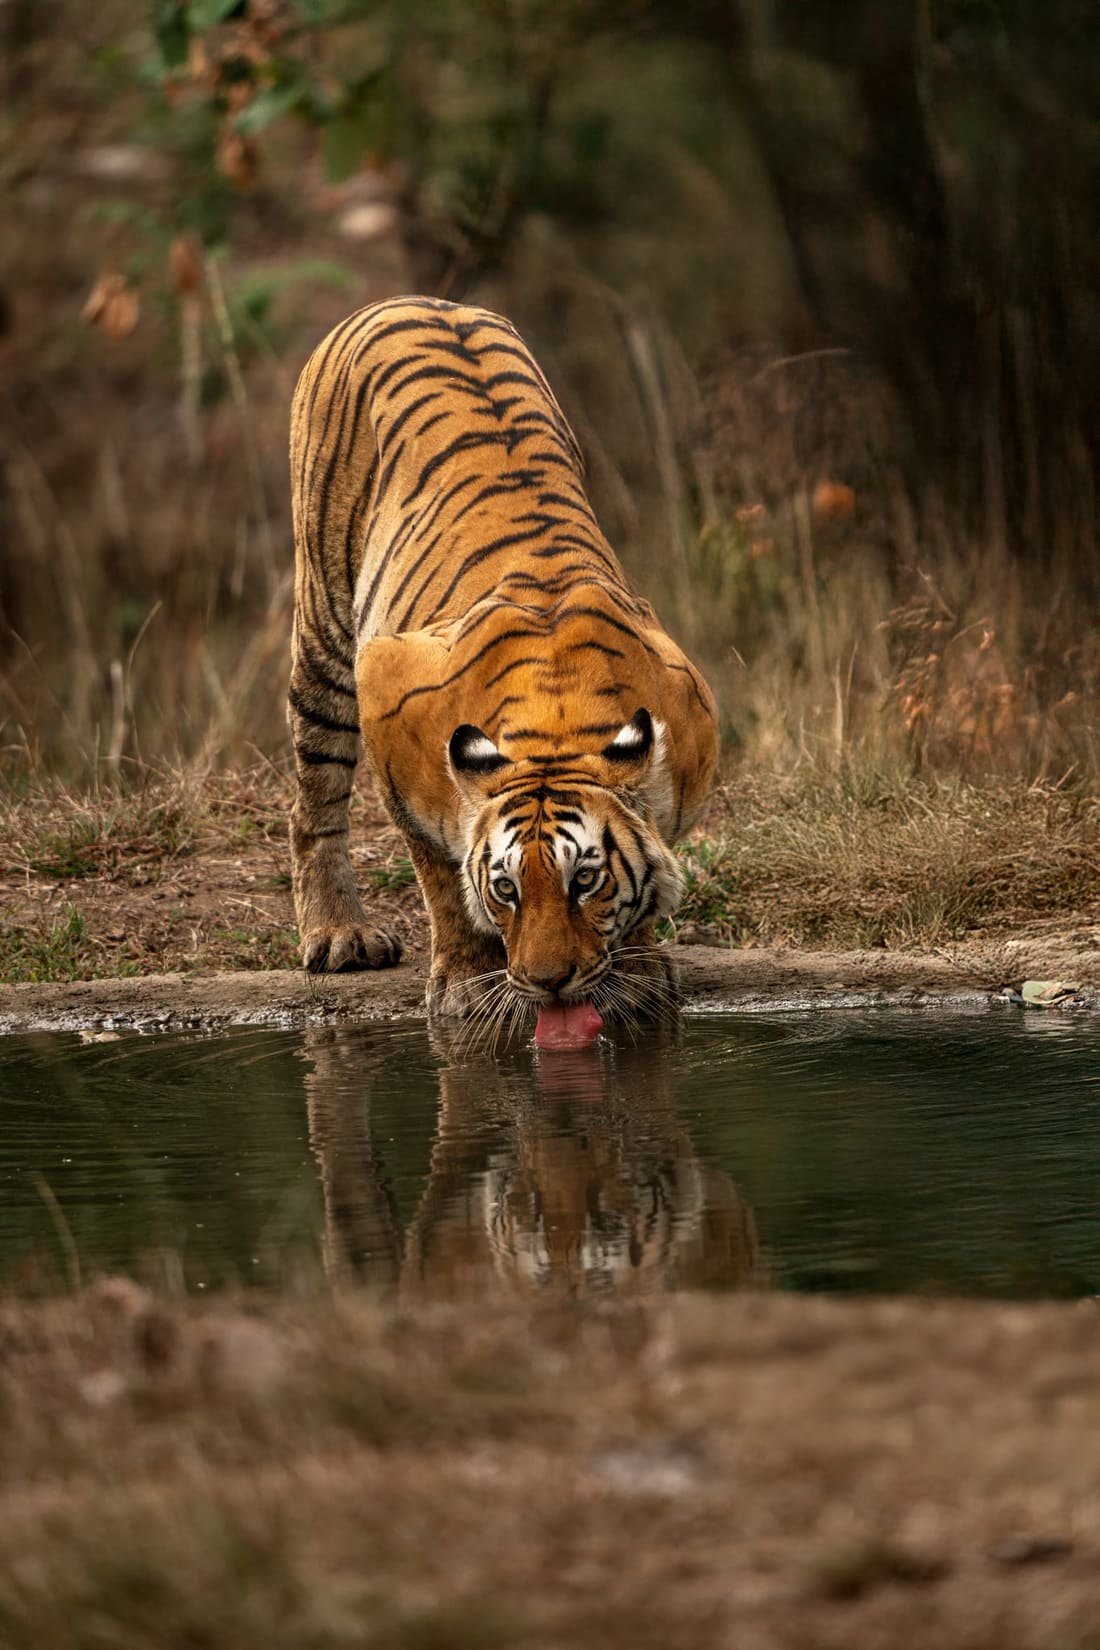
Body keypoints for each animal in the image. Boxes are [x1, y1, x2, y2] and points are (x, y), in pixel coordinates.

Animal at [288, 295, 718, 1041]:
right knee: (314, 798)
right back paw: (340, 935)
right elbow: (439, 877)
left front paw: (638, 972)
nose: (549, 983)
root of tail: (410, 299)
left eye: (586, 880)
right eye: (506, 889)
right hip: (325, 627)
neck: (557, 721)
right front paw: (464, 982)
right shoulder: (387, 695)